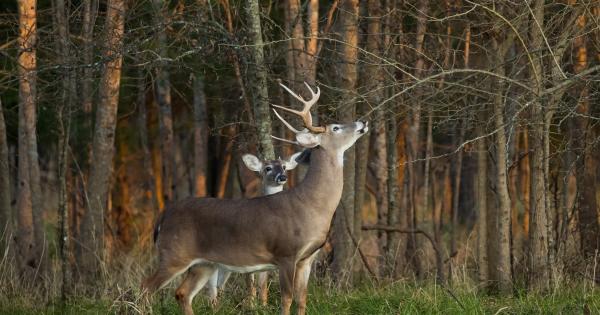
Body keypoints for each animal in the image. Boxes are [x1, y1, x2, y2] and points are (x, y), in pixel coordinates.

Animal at [205, 152, 304, 308]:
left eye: (284, 166)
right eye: (268, 168)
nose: (282, 177)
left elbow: (262, 282)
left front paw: (263, 305)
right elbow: (250, 282)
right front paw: (251, 306)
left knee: (219, 283)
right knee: (210, 285)